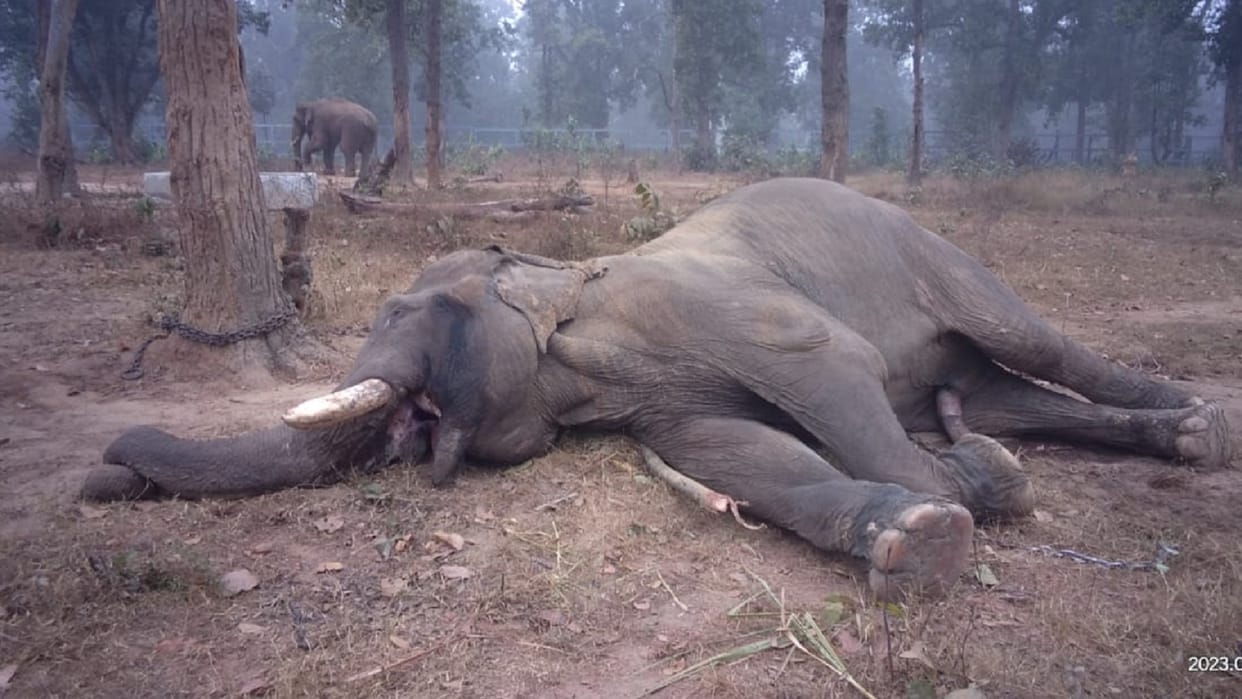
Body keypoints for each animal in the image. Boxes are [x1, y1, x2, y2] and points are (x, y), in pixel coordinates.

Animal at [85, 178, 1233, 601]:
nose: (106, 468)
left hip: (939, 257)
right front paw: (924, 534)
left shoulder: (729, 315)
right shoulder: (662, 400)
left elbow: (831, 374)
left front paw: (973, 494)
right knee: (1000, 391)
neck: (568, 298)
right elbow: (741, 458)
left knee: (1036, 345)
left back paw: (1201, 431)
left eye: (403, 315)